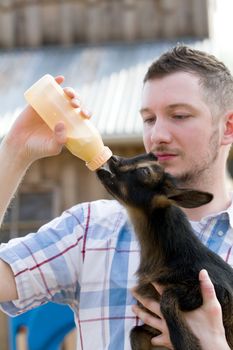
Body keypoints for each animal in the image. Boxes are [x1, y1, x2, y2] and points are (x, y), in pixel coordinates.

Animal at [97, 153, 233, 350]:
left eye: (144, 172)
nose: (114, 158)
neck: (173, 255)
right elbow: (136, 333)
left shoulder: (214, 289)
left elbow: (167, 300)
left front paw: (186, 343)